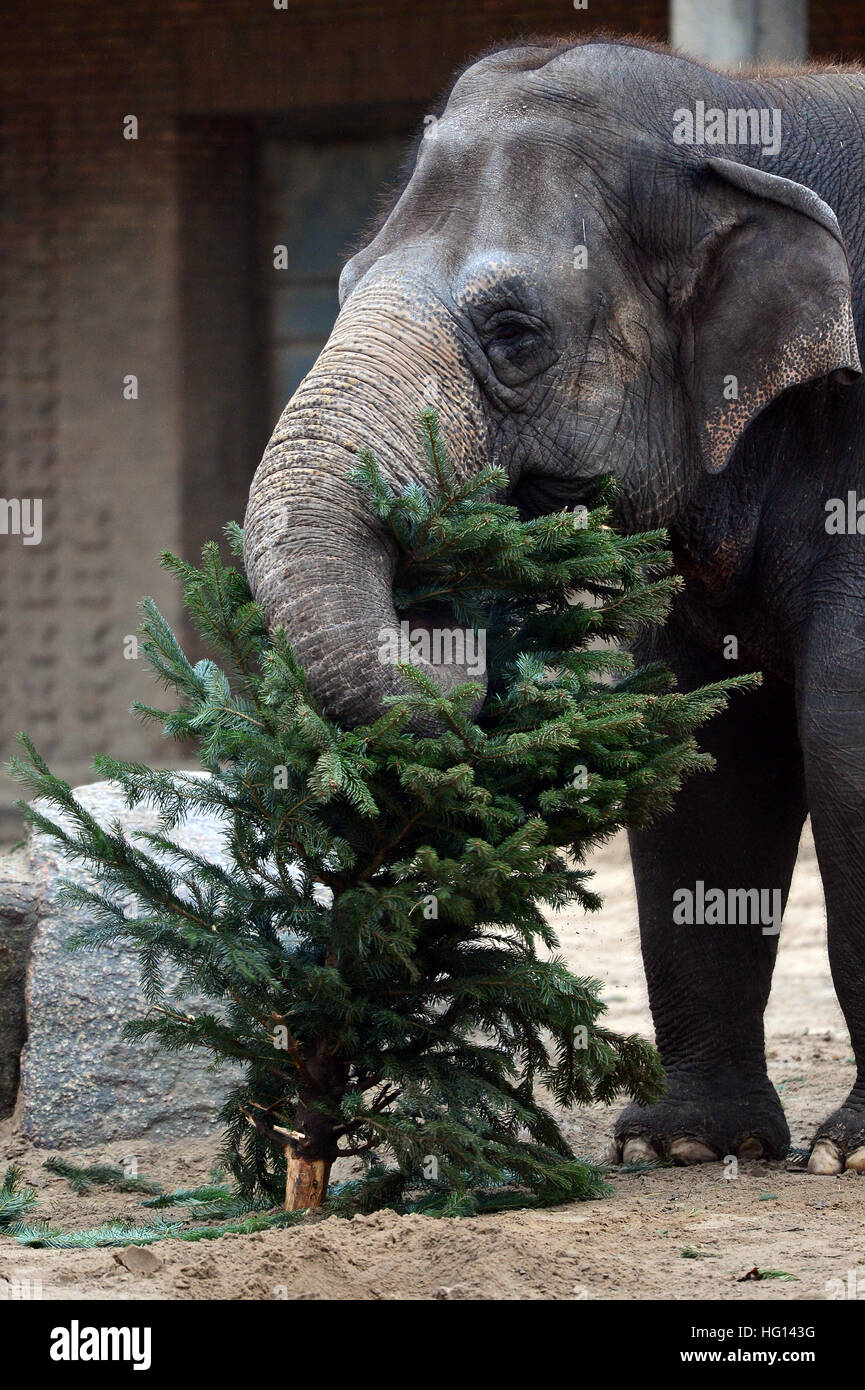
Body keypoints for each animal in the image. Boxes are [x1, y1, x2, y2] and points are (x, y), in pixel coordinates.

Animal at [244, 37, 865, 1175]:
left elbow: (846, 736)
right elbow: (703, 750)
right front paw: (678, 1146)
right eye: (343, 283)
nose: (447, 637)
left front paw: (844, 1157)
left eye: (513, 330)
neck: (745, 103)